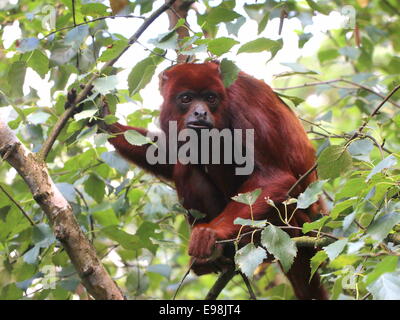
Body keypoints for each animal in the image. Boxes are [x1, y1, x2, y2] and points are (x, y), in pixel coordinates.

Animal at [103, 62, 328, 300]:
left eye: (210, 98)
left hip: (289, 225)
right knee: (187, 164)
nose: (200, 112)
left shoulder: (241, 101)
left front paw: (210, 233)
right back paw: (218, 257)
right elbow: (169, 155)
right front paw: (109, 124)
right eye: (186, 98)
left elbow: (273, 176)